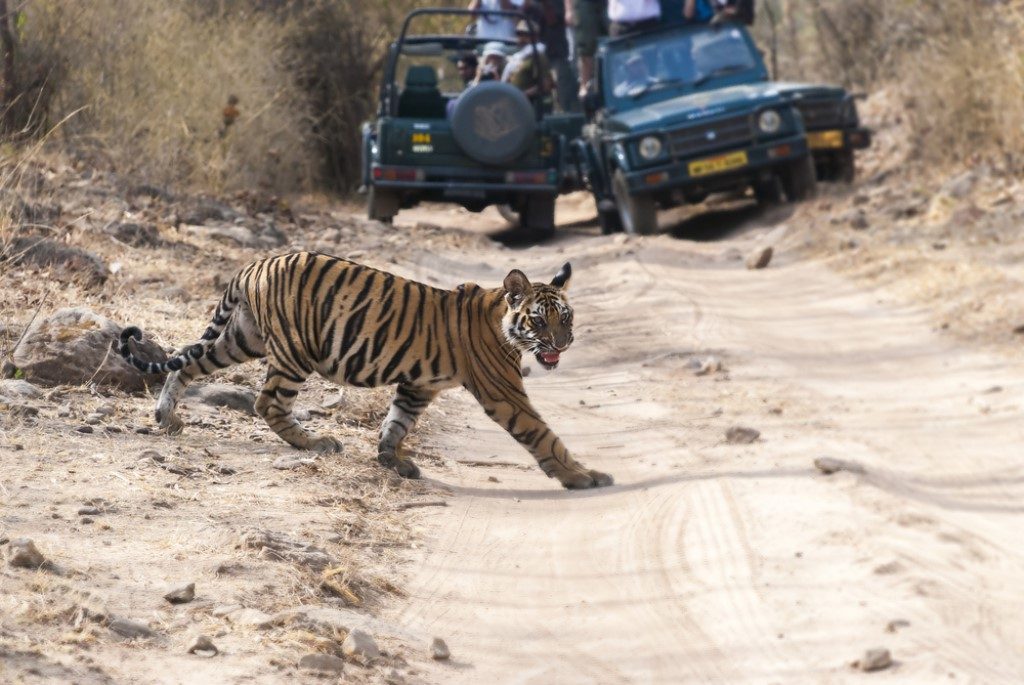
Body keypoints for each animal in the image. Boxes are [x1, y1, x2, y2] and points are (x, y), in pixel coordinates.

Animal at [119, 252, 614, 491]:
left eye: (566, 317)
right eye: (540, 321)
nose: (563, 345)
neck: (501, 319)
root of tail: (255, 263)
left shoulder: (418, 384)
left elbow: (397, 422)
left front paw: (392, 460)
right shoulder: (503, 392)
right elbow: (544, 435)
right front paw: (584, 477)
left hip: (242, 338)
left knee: (186, 360)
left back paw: (167, 417)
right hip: (294, 351)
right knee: (267, 402)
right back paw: (315, 443)